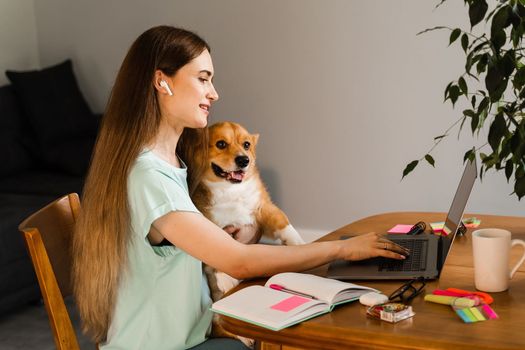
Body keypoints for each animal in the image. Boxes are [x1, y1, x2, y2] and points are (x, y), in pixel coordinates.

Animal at [190, 121, 304, 344]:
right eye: (221, 144)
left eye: (246, 144)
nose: (244, 160)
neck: (230, 190)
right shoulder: (208, 226)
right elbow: (216, 256)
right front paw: (224, 278)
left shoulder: (263, 208)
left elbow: (283, 222)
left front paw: (298, 243)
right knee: (222, 328)